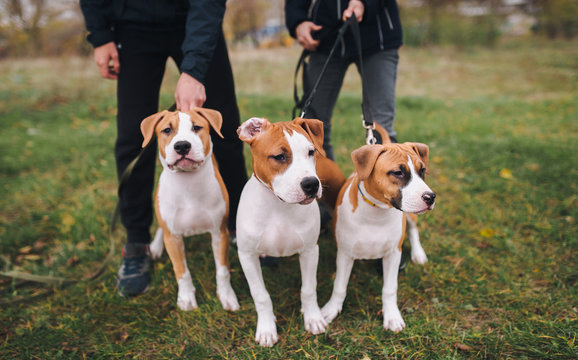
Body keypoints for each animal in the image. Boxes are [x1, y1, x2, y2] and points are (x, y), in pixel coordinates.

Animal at [140, 109, 238, 312]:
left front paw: (226, 296)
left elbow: (222, 270)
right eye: (167, 130)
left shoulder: (220, 233)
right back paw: (155, 247)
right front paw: (186, 299)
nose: (182, 145)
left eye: (197, 127)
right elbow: (181, 271)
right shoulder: (173, 238)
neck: (189, 184)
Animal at [233, 117, 342, 346]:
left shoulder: (310, 251)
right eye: (279, 156)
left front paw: (313, 319)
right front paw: (267, 329)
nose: (311, 184)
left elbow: (308, 289)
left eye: (310, 152)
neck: (279, 205)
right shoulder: (246, 256)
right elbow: (261, 295)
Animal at [318, 141, 434, 332]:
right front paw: (331, 309)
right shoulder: (345, 254)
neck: (376, 213)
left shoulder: (393, 254)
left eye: (422, 170)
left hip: (410, 216)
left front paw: (392, 315)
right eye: (398, 172)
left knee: (413, 230)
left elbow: (390, 288)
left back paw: (418, 254)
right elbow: (339, 286)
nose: (431, 197)